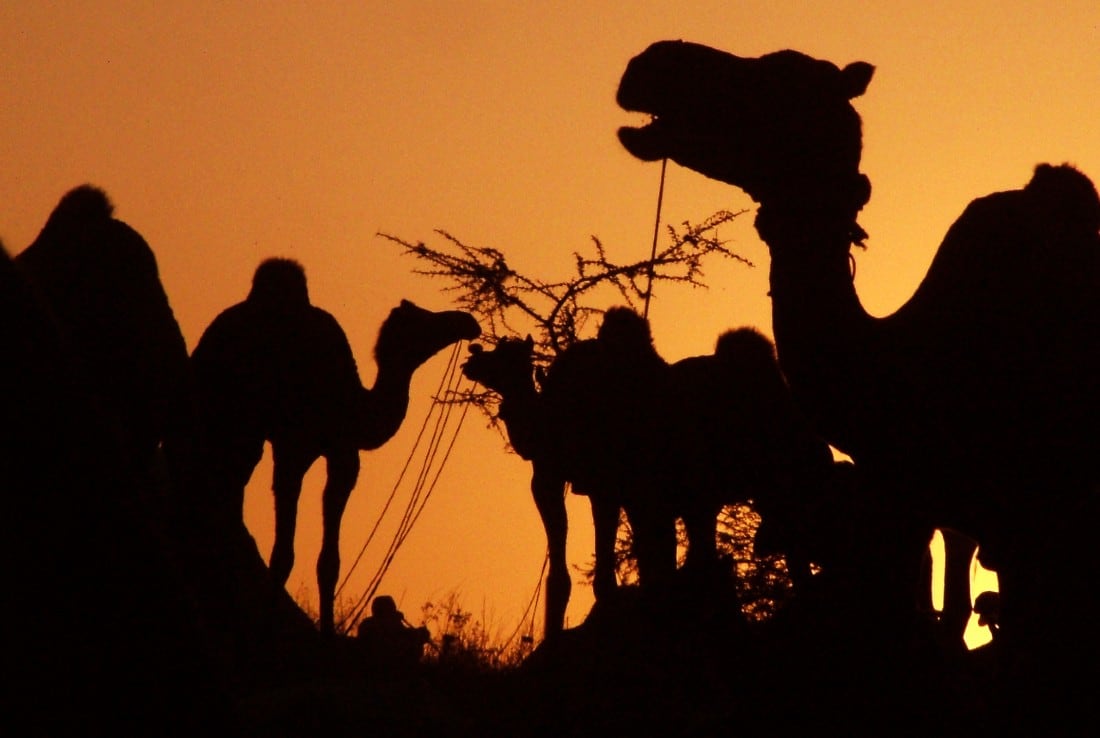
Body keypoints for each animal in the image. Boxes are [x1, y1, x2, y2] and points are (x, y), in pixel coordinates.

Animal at [195, 257, 479, 633]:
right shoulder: (293, 447)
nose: (467, 321)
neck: (349, 403)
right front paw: (269, 622)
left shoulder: (342, 454)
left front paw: (327, 632)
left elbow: (329, 561)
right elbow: (283, 553)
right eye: (423, 319)